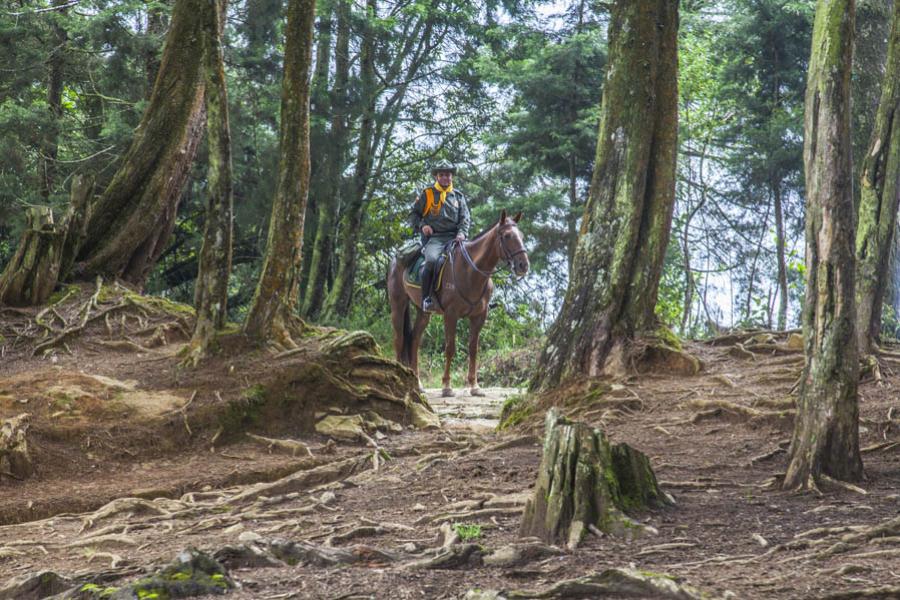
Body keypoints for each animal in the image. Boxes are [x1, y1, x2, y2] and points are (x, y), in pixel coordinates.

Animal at [386, 211, 528, 398]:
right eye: (507, 236)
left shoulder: (479, 316)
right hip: (398, 304)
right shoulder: (451, 314)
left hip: (423, 312)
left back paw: (418, 384)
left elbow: (473, 348)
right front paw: (447, 386)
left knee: (414, 340)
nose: (523, 265)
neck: (471, 270)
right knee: (399, 340)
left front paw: (475, 386)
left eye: (522, 236)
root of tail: (396, 259)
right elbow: (450, 348)